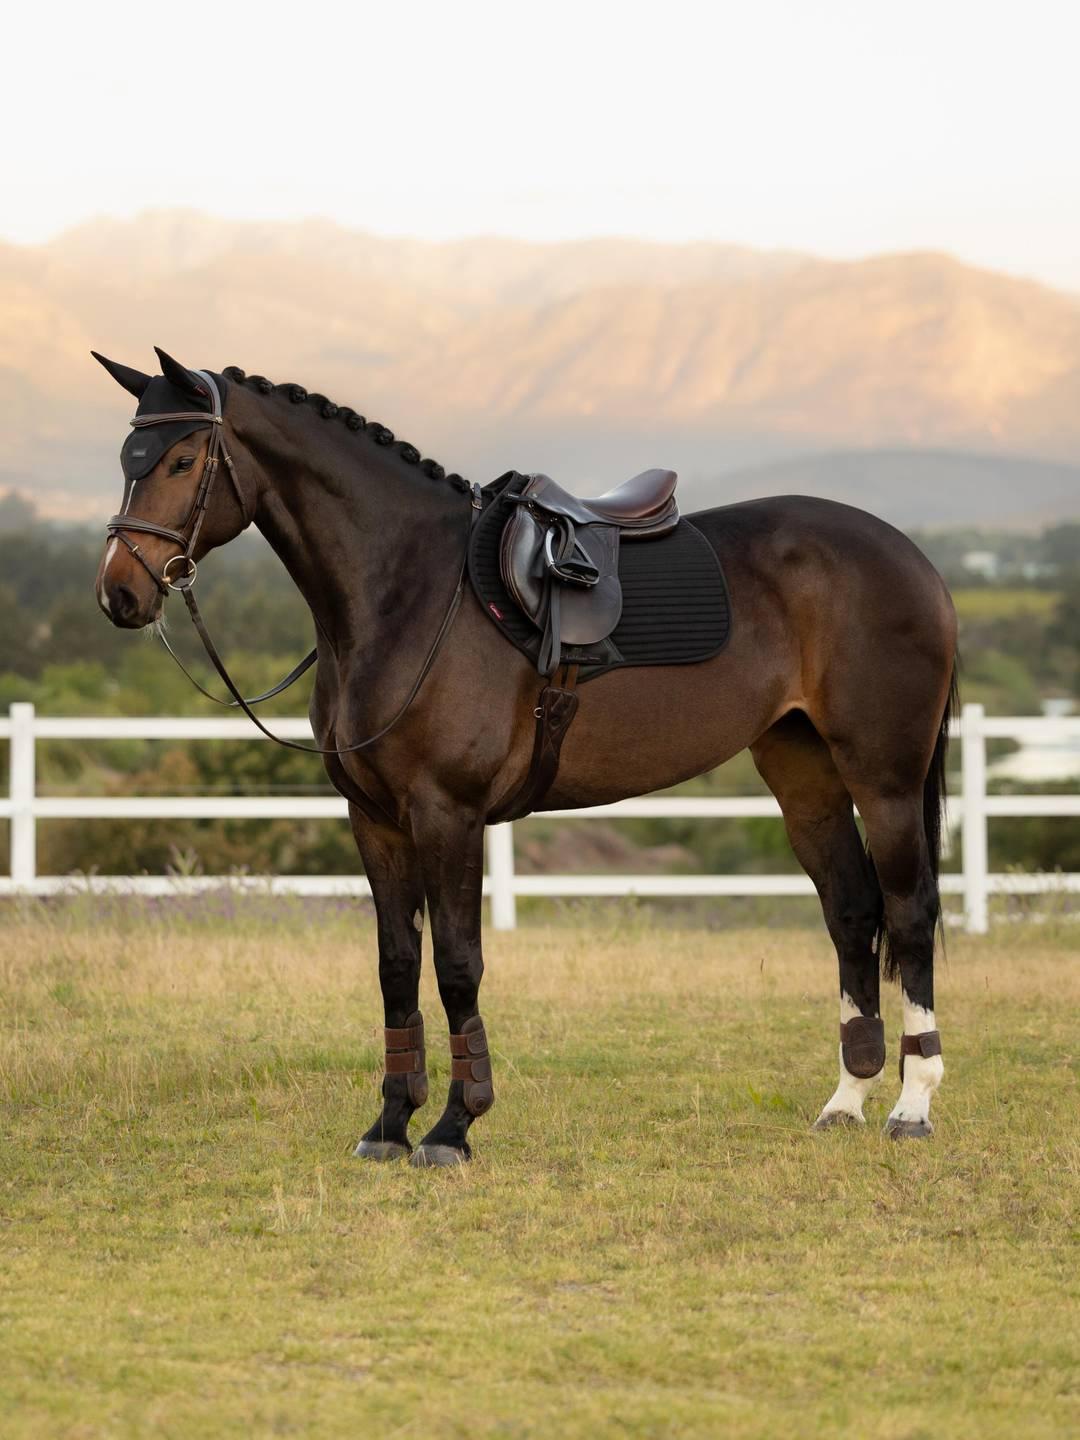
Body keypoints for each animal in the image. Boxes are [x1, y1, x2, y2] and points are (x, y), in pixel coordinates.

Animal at [93, 347, 957, 1166]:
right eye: (128, 459)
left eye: (180, 460)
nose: (119, 595)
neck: (407, 592)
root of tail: (912, 558)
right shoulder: (374, 820)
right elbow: (396, 965)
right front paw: (390, 1124)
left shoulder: (449, 814)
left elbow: (456, 964)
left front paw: (452, 1127)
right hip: (804, 774)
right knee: (852, 911)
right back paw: (846, 1100)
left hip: (884, 778)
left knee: (909, 912)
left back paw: (912, 1108)